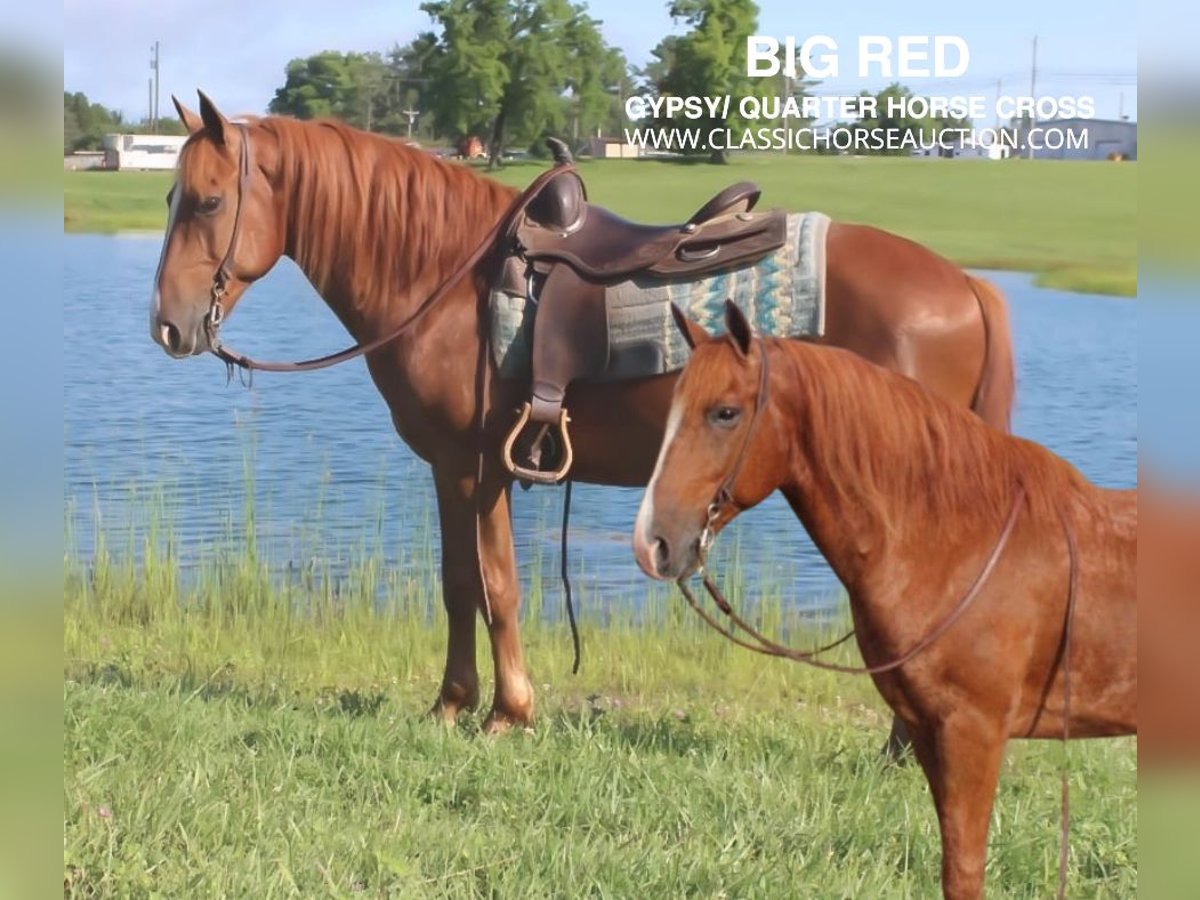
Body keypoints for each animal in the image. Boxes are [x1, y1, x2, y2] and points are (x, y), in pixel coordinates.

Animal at [150, 95, 1012, 748]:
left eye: (211, 201)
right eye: (171, 198)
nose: (167, 325)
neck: (442, 276)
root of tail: (968, 286)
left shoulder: (474, 465)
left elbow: (493, 585)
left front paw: (506, 713)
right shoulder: (455, 468)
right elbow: (458, 584)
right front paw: (453, 705)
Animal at [633, 303, 1137, 900]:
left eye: (725, 413)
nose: (653, 543)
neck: (961, 541)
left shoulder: (973, 733)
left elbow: (964, 870)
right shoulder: (925, 731)